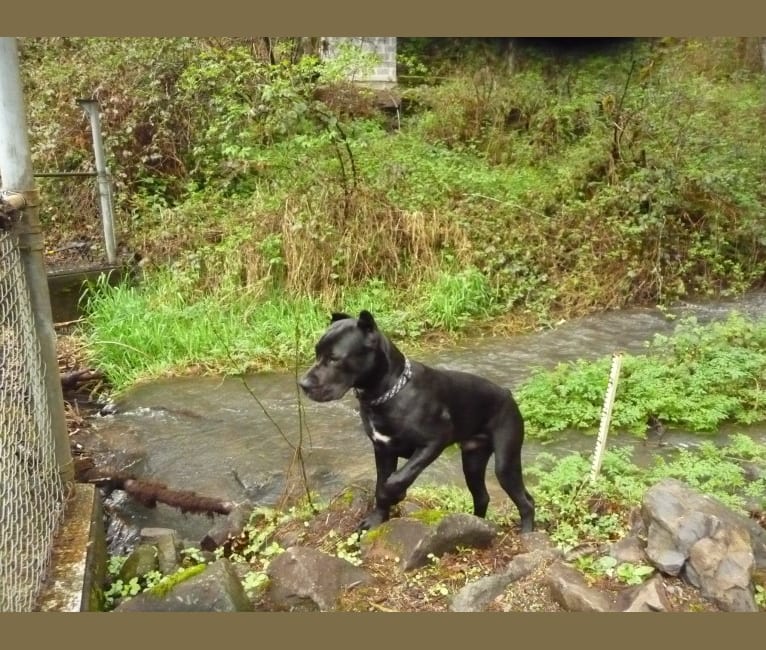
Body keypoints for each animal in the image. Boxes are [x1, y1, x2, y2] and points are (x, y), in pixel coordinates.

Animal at [296, 308, 536, 532]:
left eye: (334, 358)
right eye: (316, 353)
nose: (303, 384)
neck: (388, 392)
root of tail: (507, 393)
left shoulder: (433, 442)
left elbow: (396, 480)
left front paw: (396, 495)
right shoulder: (383, 450)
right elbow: (380, 483)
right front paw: (376, 520)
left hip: (505, 462)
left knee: (526, 502)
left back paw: (526, 532)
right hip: (473, 460)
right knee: (483, 496)